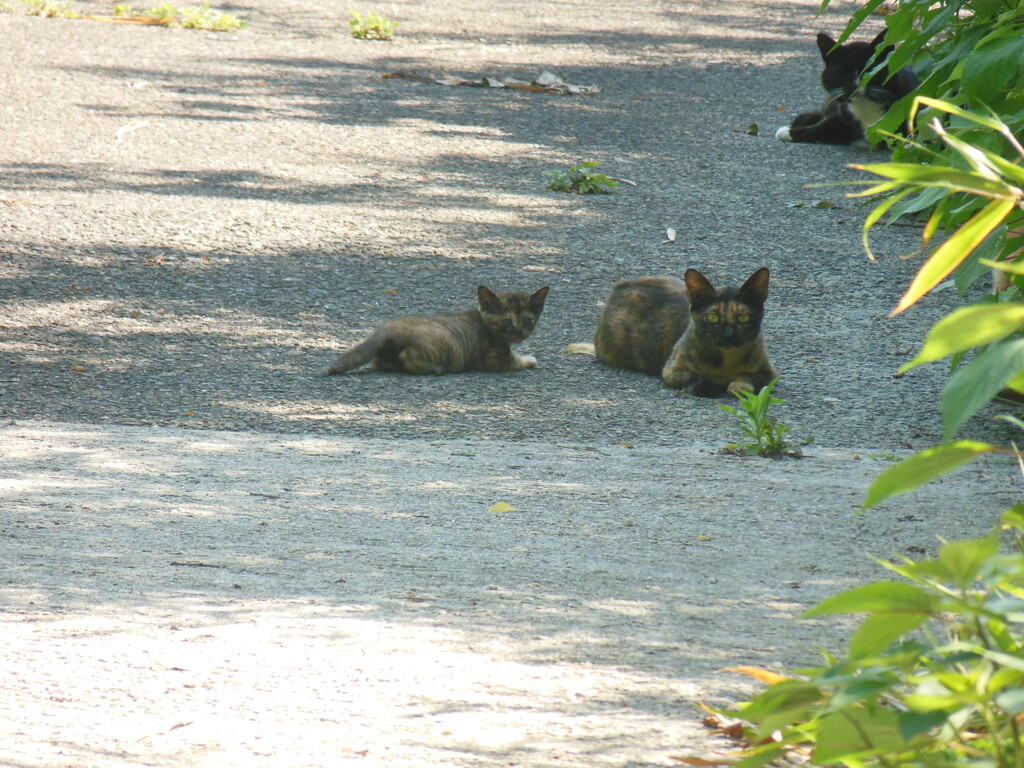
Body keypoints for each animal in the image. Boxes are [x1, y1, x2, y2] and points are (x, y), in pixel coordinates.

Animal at [319, 284, 548, 376]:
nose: (519, 332)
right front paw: (529, 359)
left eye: (527, 320)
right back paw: (436, 368)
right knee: (408, 356)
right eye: (507, 321)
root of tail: (387, 328)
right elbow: (517, 361)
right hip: (445, 346)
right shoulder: (494, 360)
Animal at [593, 268, 774, 399]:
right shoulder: (671, 369)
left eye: (743, 317)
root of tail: (621, 283)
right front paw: (708, 385)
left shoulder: (770, 373)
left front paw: (739, 386)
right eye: (713, 317)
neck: (726, 362)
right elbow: (695, 375)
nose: (728, 334)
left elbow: (747, 376)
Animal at [774, 31, 921, 146]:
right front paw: (787, 132)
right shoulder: (844, 113)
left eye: (869, 70)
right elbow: (825, 126)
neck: (865, 107)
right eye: (842, 72)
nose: (856, 84)